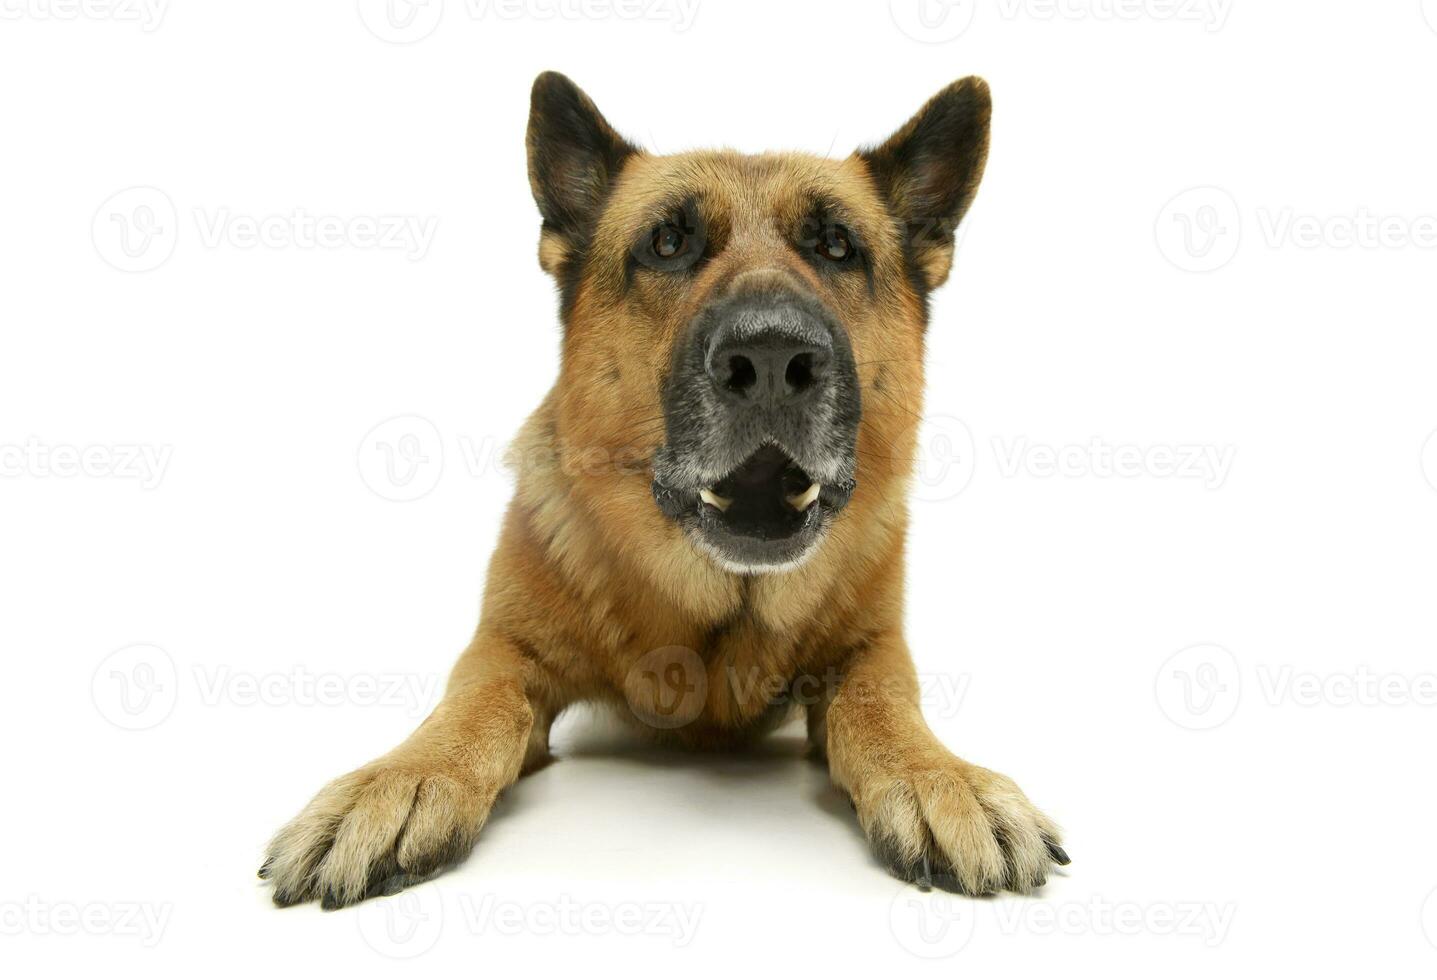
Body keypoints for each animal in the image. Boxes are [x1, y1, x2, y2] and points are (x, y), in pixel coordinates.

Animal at [261, 72, 1069, 902]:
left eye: (836, 245)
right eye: (668, 244)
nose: (771, 357)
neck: (718, 611)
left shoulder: (871, 650)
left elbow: (881, 703)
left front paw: (937, 774)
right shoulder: (502, 650)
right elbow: (470, 704)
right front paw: (403, 778)